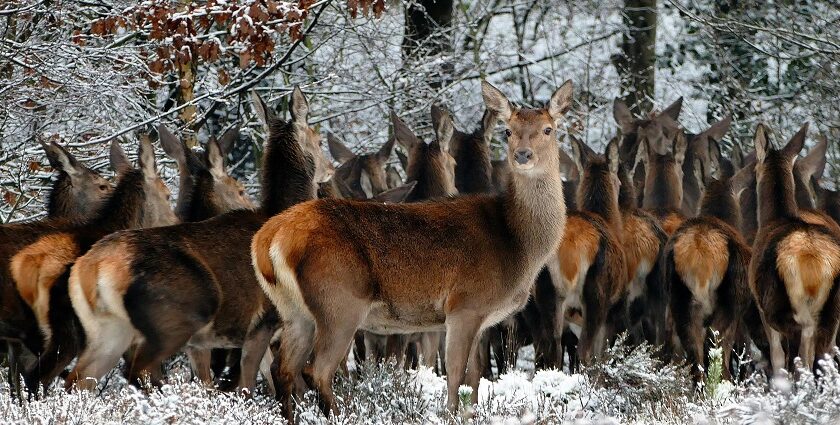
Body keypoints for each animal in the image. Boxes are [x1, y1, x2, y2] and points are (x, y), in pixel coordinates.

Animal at [63, 87, 328, 394]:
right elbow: (250, 386)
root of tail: (95, 265)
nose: (331, 169)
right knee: (138, 370)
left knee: (77, 380)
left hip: (106, 329)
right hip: (177, 315)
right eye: (319, 139)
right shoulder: (262, 322)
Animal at [253, 79, 576, 418]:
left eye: (548, 129)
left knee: (282, 369)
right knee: (316, 370)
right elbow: (455, 376)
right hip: (339, 300)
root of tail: (269, 237)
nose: (523, 155)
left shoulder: (480, 318)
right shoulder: (464, 304)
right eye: (508, 131)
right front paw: (450, 415)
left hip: (294, 310)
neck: (517, 244)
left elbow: (474, 380)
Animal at [748, 121, 840, 372]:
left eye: (754, 169)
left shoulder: (762, 308)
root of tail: (816, 268)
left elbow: (777, 357)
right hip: (831, 316)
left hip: (788, 312)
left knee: (797, 363)